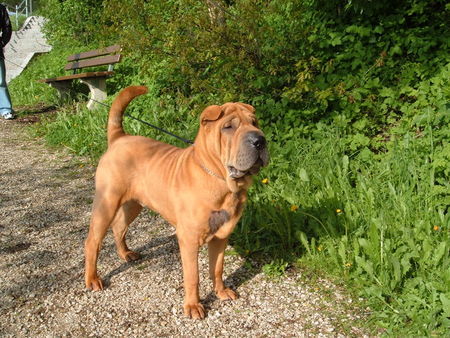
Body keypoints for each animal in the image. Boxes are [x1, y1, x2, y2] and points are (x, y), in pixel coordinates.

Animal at [83, 86, 268, 318]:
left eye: (255, 123)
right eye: (228, 127)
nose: (259, 140)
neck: (220, 180)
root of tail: (119, 138)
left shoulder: (221, 236)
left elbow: (217, 268)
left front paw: (221, 291)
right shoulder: (188, 239)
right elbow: (193, 276)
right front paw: (193, 306)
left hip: (133, 204)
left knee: (119, 227)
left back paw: (126, 254)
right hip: (106, 203)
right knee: (92, 242)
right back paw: (92, 279)